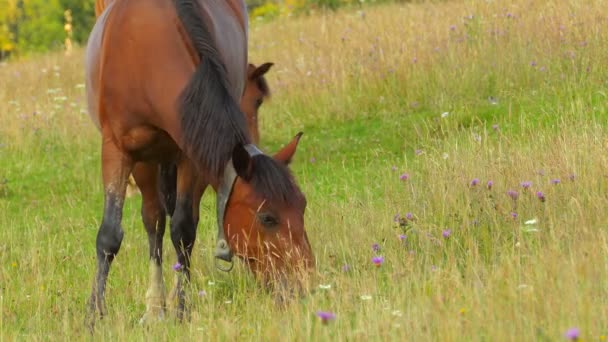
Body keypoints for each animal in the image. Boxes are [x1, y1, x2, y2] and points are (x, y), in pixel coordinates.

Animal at [85, 0, 314, 328]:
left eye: (302, 206)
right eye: (267, 218)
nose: (305, 283)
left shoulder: (191, 152)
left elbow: (183, 230)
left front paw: (181, 307)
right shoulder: (119, 151)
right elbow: (110, 235)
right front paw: (95, 315)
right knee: (153, 219)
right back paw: (154, 307)